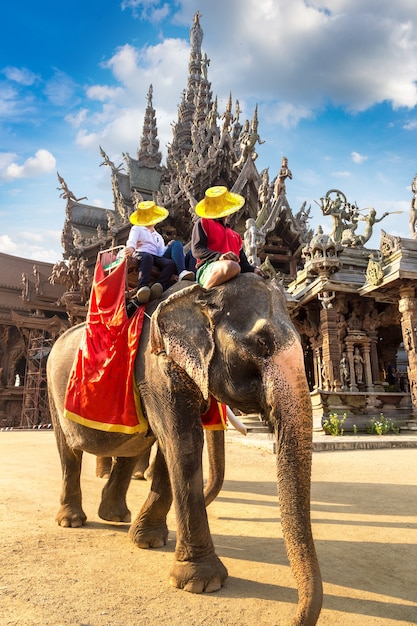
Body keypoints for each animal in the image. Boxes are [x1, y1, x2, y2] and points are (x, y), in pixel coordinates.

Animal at [48, 274, 322, 624]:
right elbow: (181, 441)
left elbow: (171, 446)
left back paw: (116, 516)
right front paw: (202, 583)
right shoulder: (157, 367)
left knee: (130, 448)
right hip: (52, 391)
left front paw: (149, 541)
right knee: (69, 452)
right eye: (262, 343)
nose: (293, 618)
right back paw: (72, 521)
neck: (199, 294)